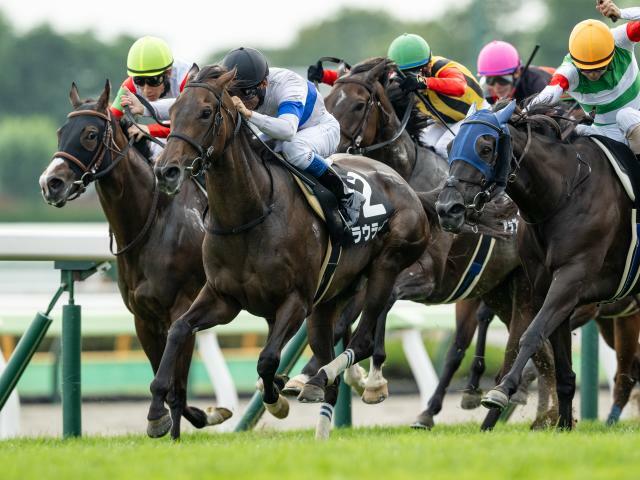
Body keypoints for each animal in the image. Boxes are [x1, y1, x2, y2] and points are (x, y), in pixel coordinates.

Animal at [38, 81, 231, 436]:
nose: (50, 183)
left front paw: (181, 421)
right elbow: (167, 381)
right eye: (60, 132)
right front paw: (182, 418)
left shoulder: (182, 308)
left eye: (89, 134)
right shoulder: (143, 316)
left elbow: (177, 387)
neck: (152, 222)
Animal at [151, 65, 430, 440]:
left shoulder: (295, 300)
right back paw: (320, 419)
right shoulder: (223, 298)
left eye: (206, 112)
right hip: (328, 301)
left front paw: (277, 399)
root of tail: (401, 182)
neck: (250, 214)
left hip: (385, 266)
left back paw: (326, 378)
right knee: (331, 362)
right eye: (173, 111)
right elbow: (179, 329)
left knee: (362, 340)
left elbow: (267, 359)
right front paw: (156, 411)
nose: (166, 171)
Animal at [318, 58, 556, 430]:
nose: (332, 153)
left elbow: (385, 303)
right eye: (328, 102)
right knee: (539, 349)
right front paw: (343, 374)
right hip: (499, 291)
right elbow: (348, 318)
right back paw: (543, 413)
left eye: (358, 105)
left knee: (519, 346)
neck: (410, 182)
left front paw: (374, 379)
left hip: (525, 289)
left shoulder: (428, 277)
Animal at [438, 102, 640, 428]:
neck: (564, 192)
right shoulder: (548, 286)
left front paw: (501, 391)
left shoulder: (571, 278)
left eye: (485, 147)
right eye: (449, 146)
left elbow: (531, 334)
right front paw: (562, 424)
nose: (447, 209)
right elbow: (562, 368)